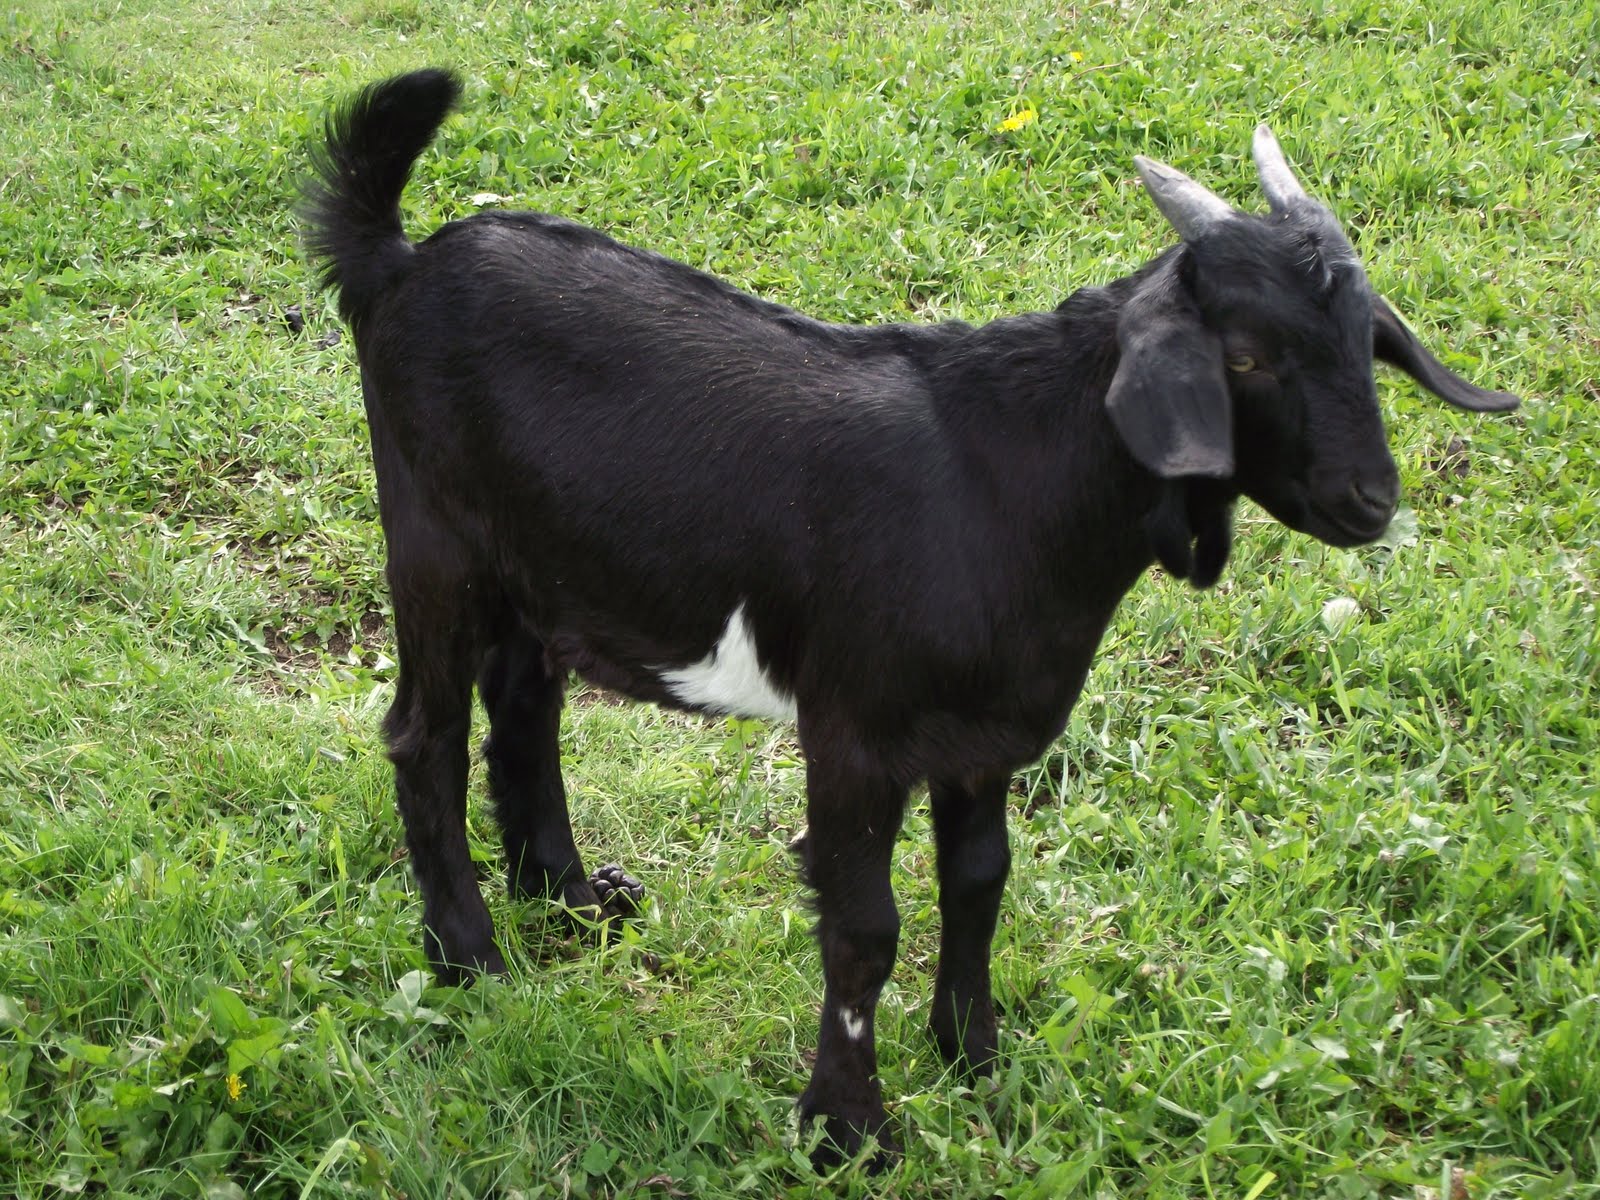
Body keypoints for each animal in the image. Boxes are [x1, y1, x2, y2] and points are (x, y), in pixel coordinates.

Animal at [302, 68, 1519, 1161]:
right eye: (1248, 357)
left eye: (1366, 339)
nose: (1369, 500)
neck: (1011, 484)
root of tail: (399, 266)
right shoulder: (855, 730)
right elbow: (863, 929)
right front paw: (848, 1130)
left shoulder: (985, 735)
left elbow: (978, 882)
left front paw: (974, 1056)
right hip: (434, 541)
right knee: (424, 733)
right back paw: (470, 957)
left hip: (537, 565)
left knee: (526, 704)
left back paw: (568, 898)